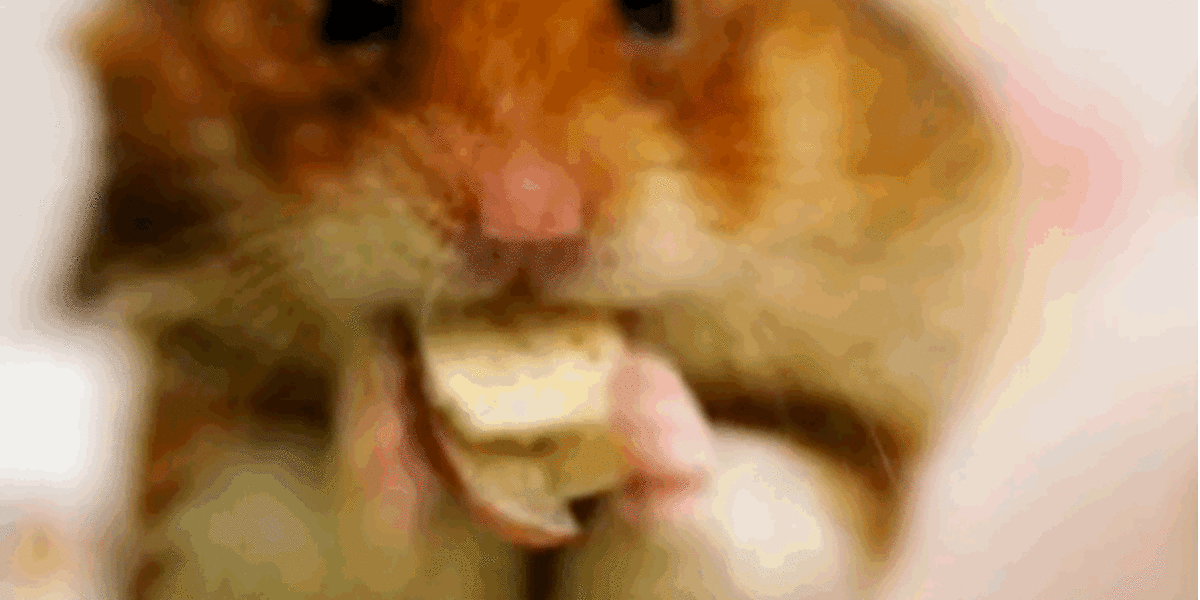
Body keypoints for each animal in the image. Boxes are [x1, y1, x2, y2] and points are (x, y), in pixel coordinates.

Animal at [67, 0, 1019, 598]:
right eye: (352, 14)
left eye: (656, 12)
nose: (526, 226)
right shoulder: (220, 510)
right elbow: (362, 524)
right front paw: (387, 399)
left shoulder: (827, 486)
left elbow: (712, 507)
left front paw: (638, 400)